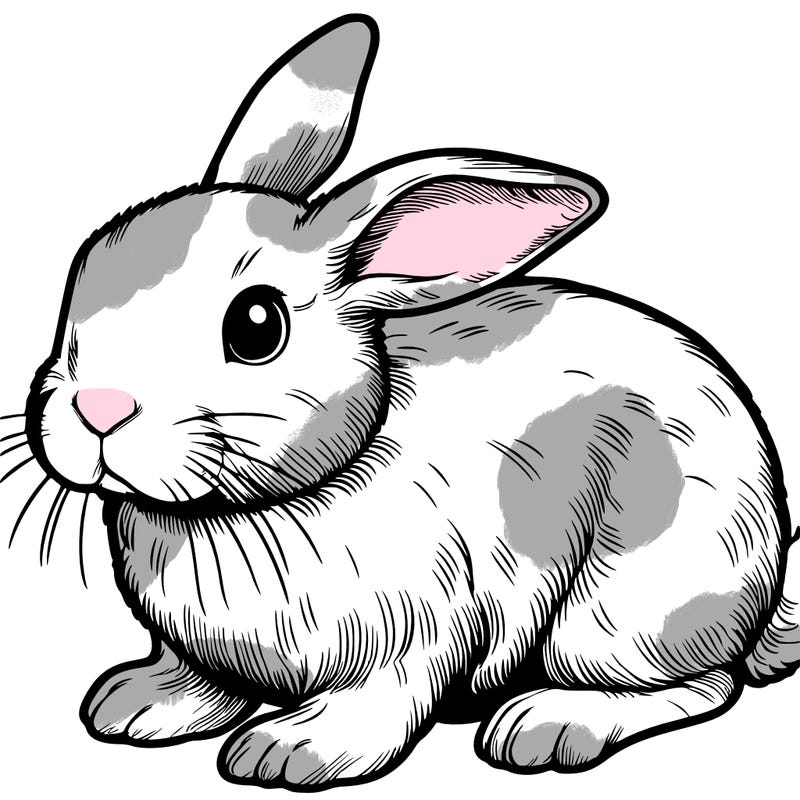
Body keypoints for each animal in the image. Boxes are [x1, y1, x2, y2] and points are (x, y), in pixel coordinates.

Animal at [10, 11, 800, 792]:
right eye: (83, 273)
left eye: (256, 326)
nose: (99, 408)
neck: (244, 509)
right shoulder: (204, 650)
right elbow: (201, 681)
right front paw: (135, 704)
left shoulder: (414, 637)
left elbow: (378, 705)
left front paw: (290, 750)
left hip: (624, 613)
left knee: (702, 685)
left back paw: (546, 725)